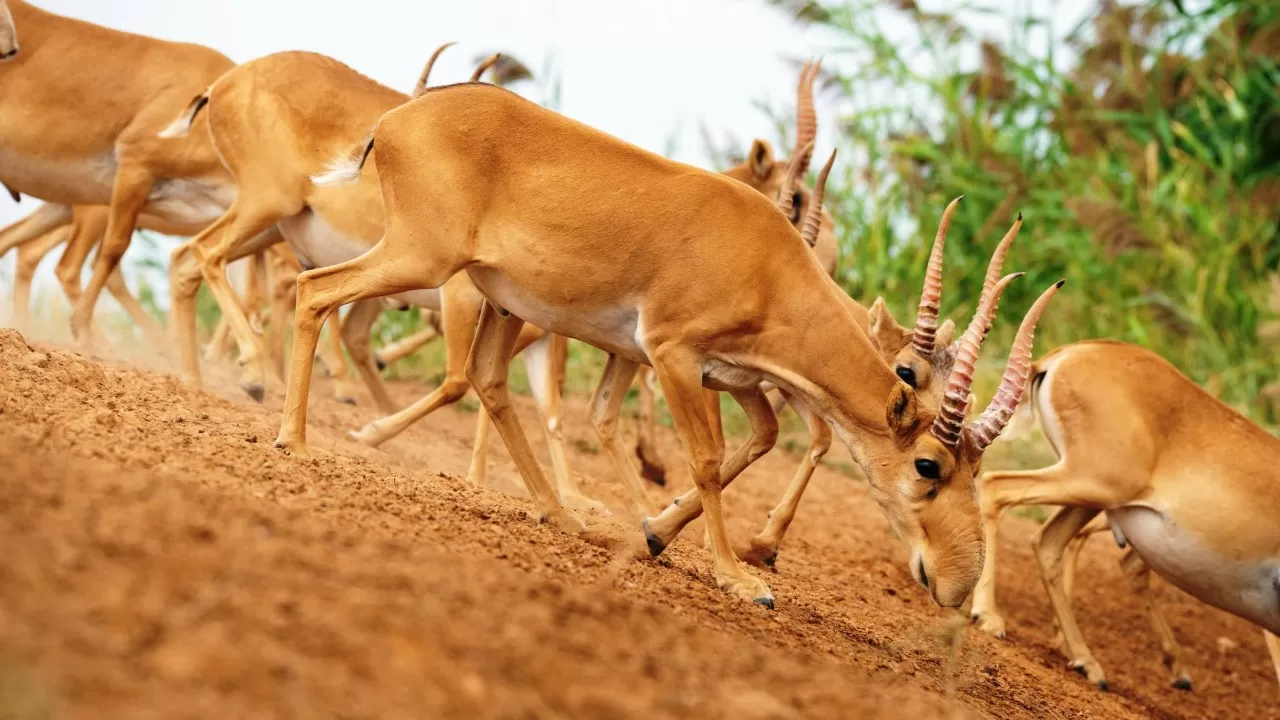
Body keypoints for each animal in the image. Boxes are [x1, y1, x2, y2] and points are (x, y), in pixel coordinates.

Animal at [0, 0, 243, 348]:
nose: (11, 47)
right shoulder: (135, 168)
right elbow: (114, 249)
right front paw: (79, 326)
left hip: (61, 207)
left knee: (15, 243)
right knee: (66, 265)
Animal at [288, 79, 1059, 604]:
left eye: (973, 474)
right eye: (929, 465)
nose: (957, 586)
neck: (765, 258)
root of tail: (395, 120)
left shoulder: (734, 376)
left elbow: (760, 440)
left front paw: (655, 533)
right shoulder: (673, 355)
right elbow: (711, 461)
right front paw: (740, 578)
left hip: (498, 301)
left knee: (486, 381)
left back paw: (561, 514)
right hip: (421, 259)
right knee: (313, 290)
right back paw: (296, 441)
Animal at [967, 340, 1280, 691]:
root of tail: (1067, 355)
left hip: (1091, 495)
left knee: (1049, 542)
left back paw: (1087, 661)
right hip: (1093, 483)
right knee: (996, 487)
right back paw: (990, 618)